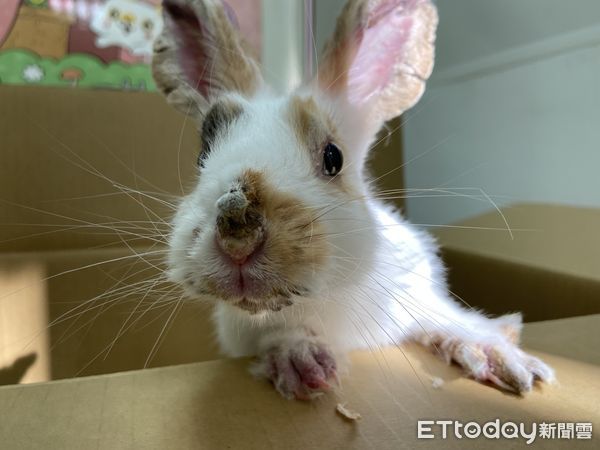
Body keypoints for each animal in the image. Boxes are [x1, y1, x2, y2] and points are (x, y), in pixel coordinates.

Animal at [152, 0, 556, 400]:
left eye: (334, 158)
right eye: (202, 154)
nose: (237, 233)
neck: (331, 297)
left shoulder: (419, 291)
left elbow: (448, 318)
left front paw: (510, 363)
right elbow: (278, 333)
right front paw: (302, 363)